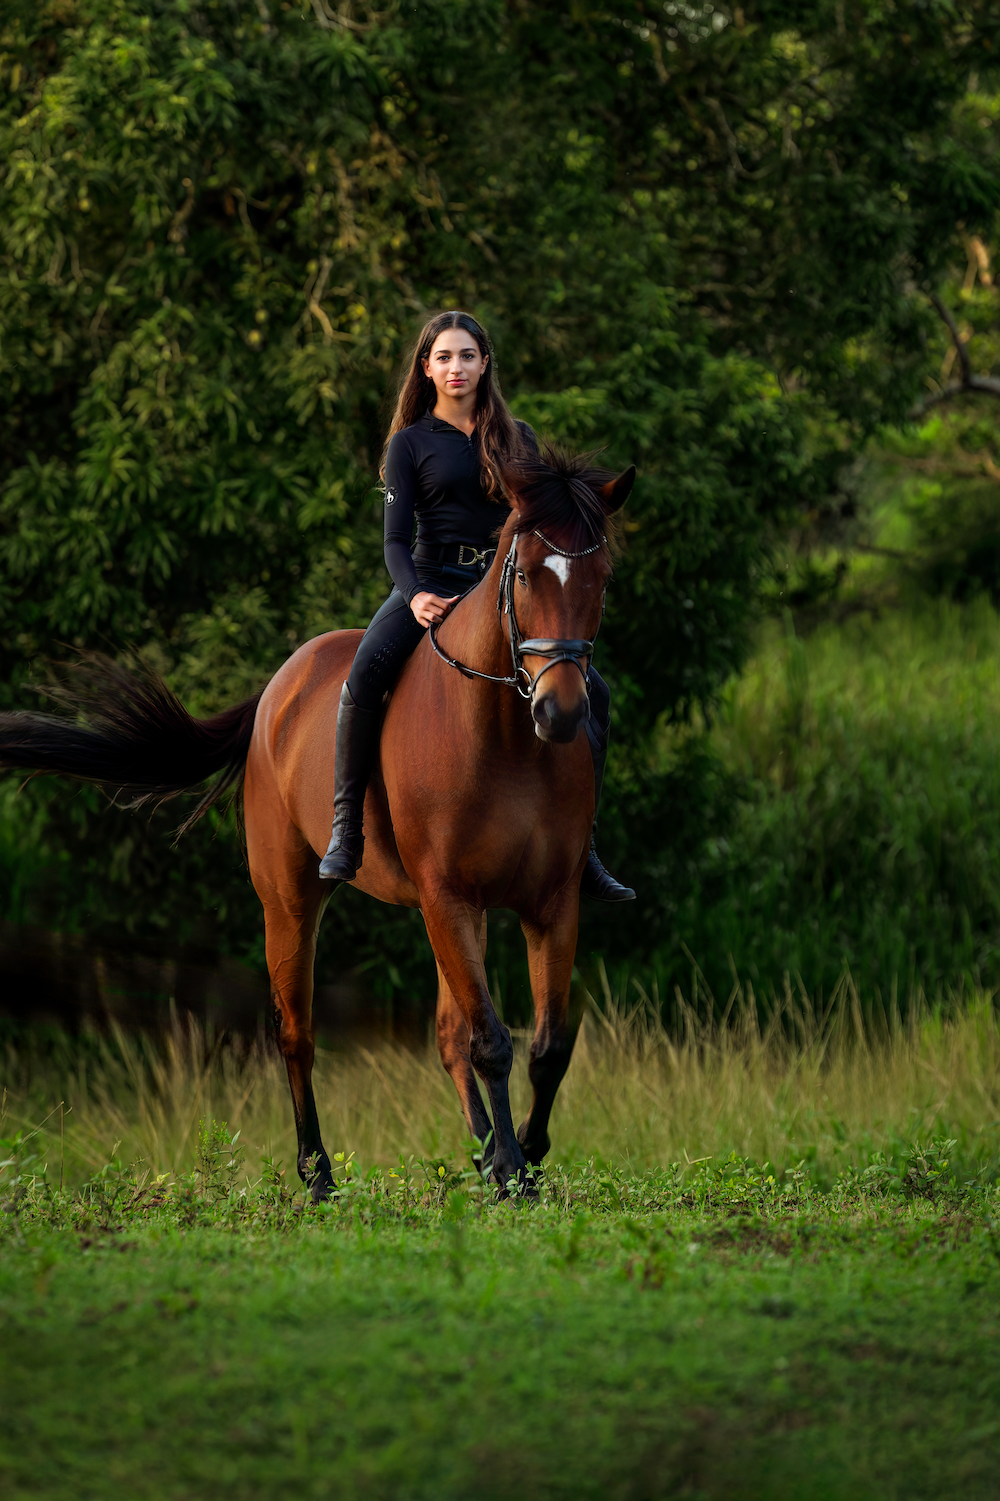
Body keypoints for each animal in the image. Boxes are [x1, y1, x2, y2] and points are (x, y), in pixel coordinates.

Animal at [0, 450, 633, 1196]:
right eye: (528, 572)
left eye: (600, 579)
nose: (559, 713)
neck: (506, 735)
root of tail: (277, 688)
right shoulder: (446, 896)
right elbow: (492, 1041)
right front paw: (511, 1170)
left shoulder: (551, 902)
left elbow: (547, 1045)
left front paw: (523, 1158)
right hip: (291, 898)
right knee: (297, 1032)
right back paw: (319, 1173)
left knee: (447, 1034)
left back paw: (474, 1155)